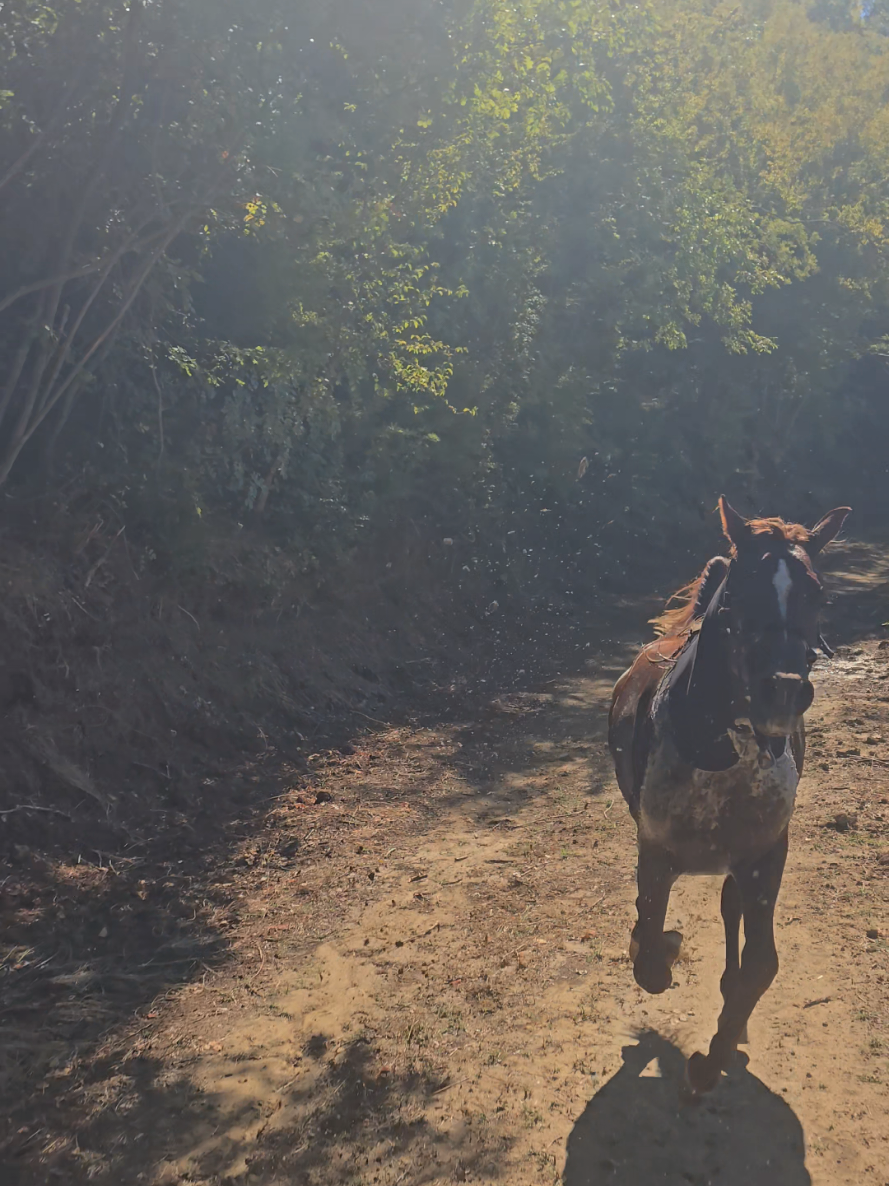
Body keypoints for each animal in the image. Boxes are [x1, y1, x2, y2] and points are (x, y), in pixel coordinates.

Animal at [608, 496, 850, 1094]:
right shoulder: (655, 852)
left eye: (818, 595)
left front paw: (712, 1057)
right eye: (738, 595)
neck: (717, 751)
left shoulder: (764, 856)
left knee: (731, 909)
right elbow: (650, 954)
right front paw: (659, 946)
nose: (783, 690)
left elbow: (761, 963)